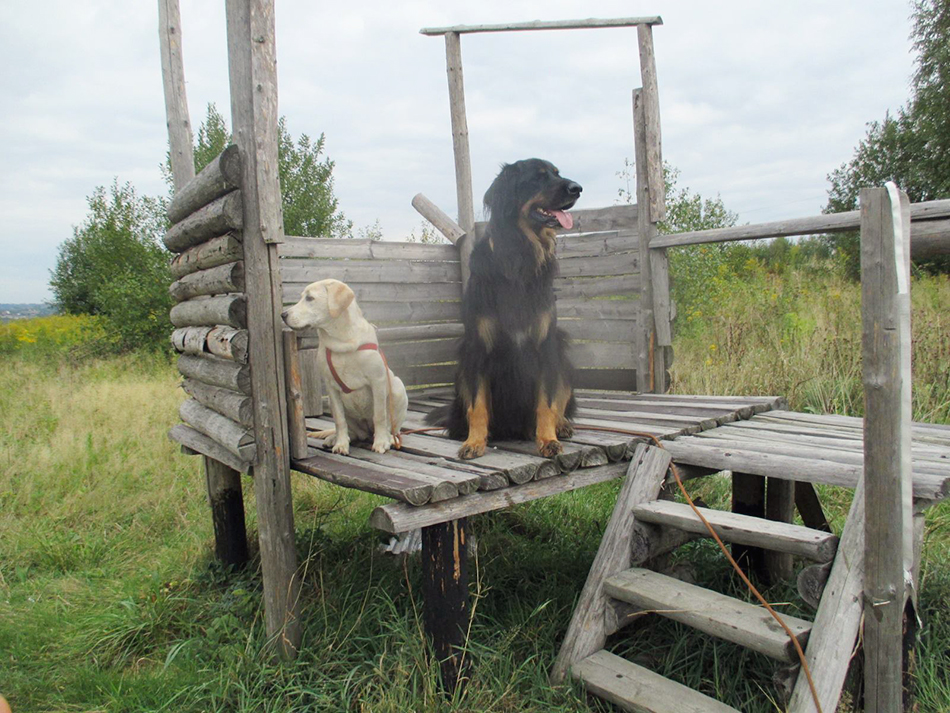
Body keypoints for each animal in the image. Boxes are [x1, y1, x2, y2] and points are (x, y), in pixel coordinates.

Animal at [430, 159, 580, 458]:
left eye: (556, 173)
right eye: (539, 178)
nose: (578, 188)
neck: (519, 257)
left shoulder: (546, 346)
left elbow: (546, 403)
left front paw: (547, 438)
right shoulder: (477, 348)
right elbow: (477, 404)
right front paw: (475, 441)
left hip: (562, 355)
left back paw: (562, 425)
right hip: (462, 368)